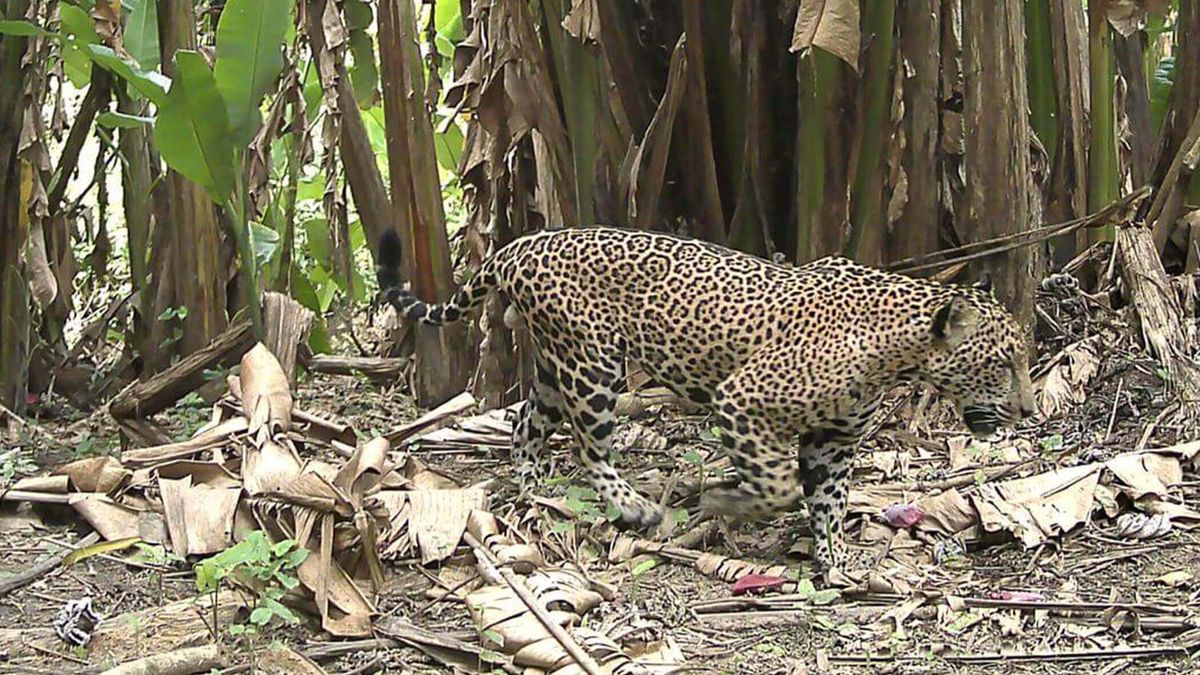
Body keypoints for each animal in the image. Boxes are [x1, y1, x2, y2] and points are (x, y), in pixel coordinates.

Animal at [376, 225, 1036, 576]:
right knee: (590, 447)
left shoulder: (834, 439)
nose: (1030, 412)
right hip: (594, 366)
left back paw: (536, 488)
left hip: (553, 367)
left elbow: (827, 500)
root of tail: (520, 244)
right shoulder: (741, 400)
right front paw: (723, 501)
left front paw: (834, 563)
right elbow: (779, 486)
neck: (895, 347)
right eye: (1002, 363)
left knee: (524, 423)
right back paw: (634, 509)